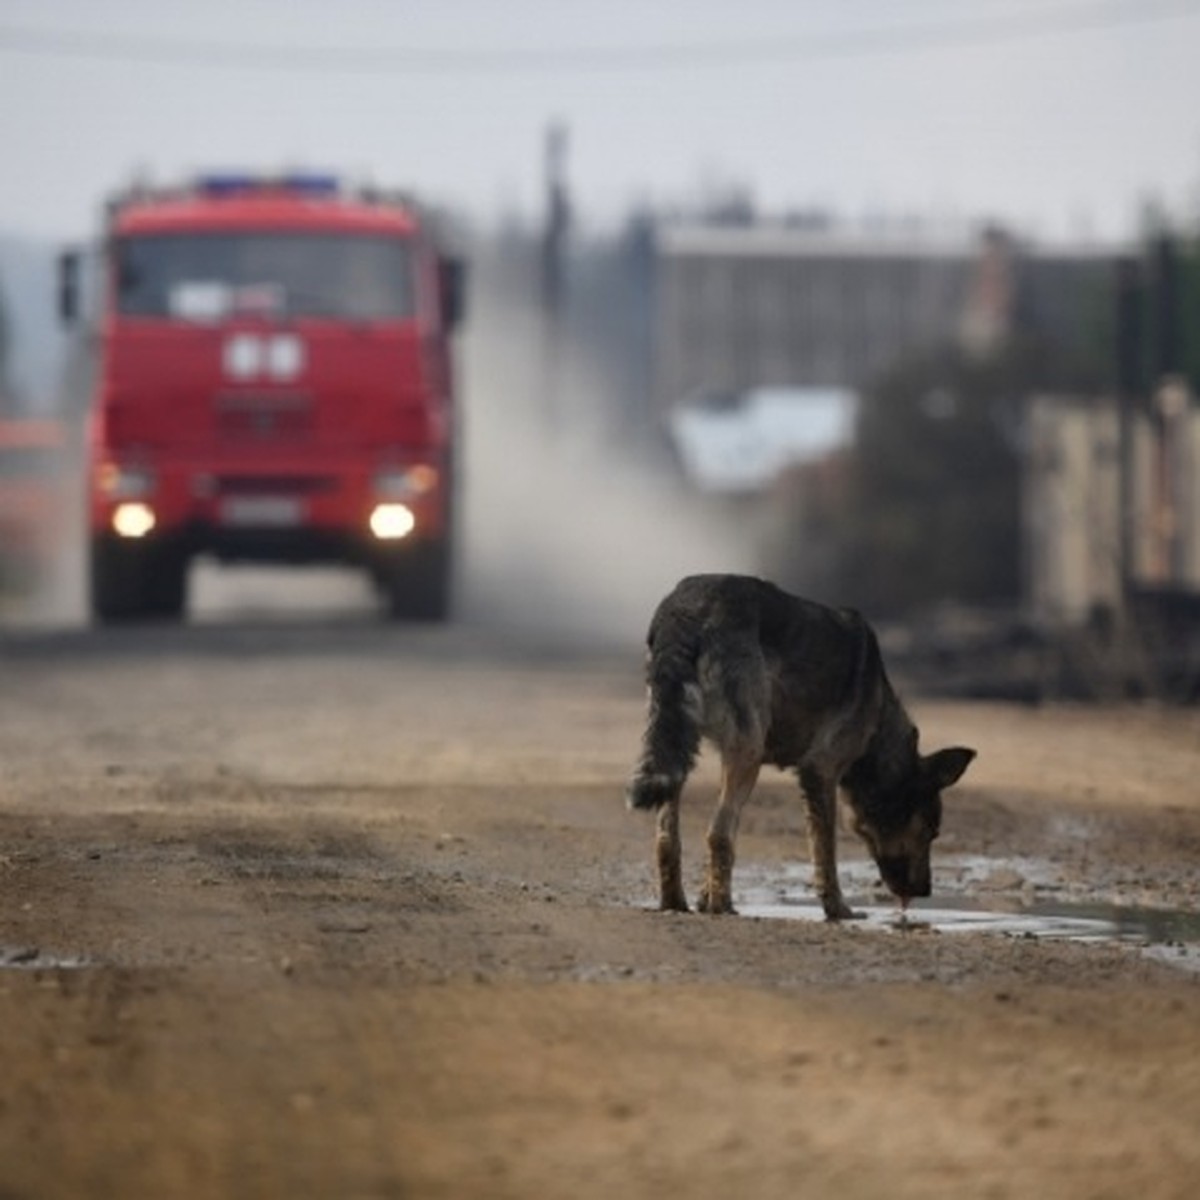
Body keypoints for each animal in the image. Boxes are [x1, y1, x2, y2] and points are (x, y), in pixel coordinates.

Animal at [628, 571, 974, 916]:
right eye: (931, 832)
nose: (926, 891)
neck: (879, 726)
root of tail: (685, 609)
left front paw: (703, 898)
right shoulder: (820, 771)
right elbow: (826, 851)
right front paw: (838, 909)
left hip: (679, 748)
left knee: (667, 838)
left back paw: (676, 902)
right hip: (747, 755)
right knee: (718, 833)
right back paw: (723, 907)